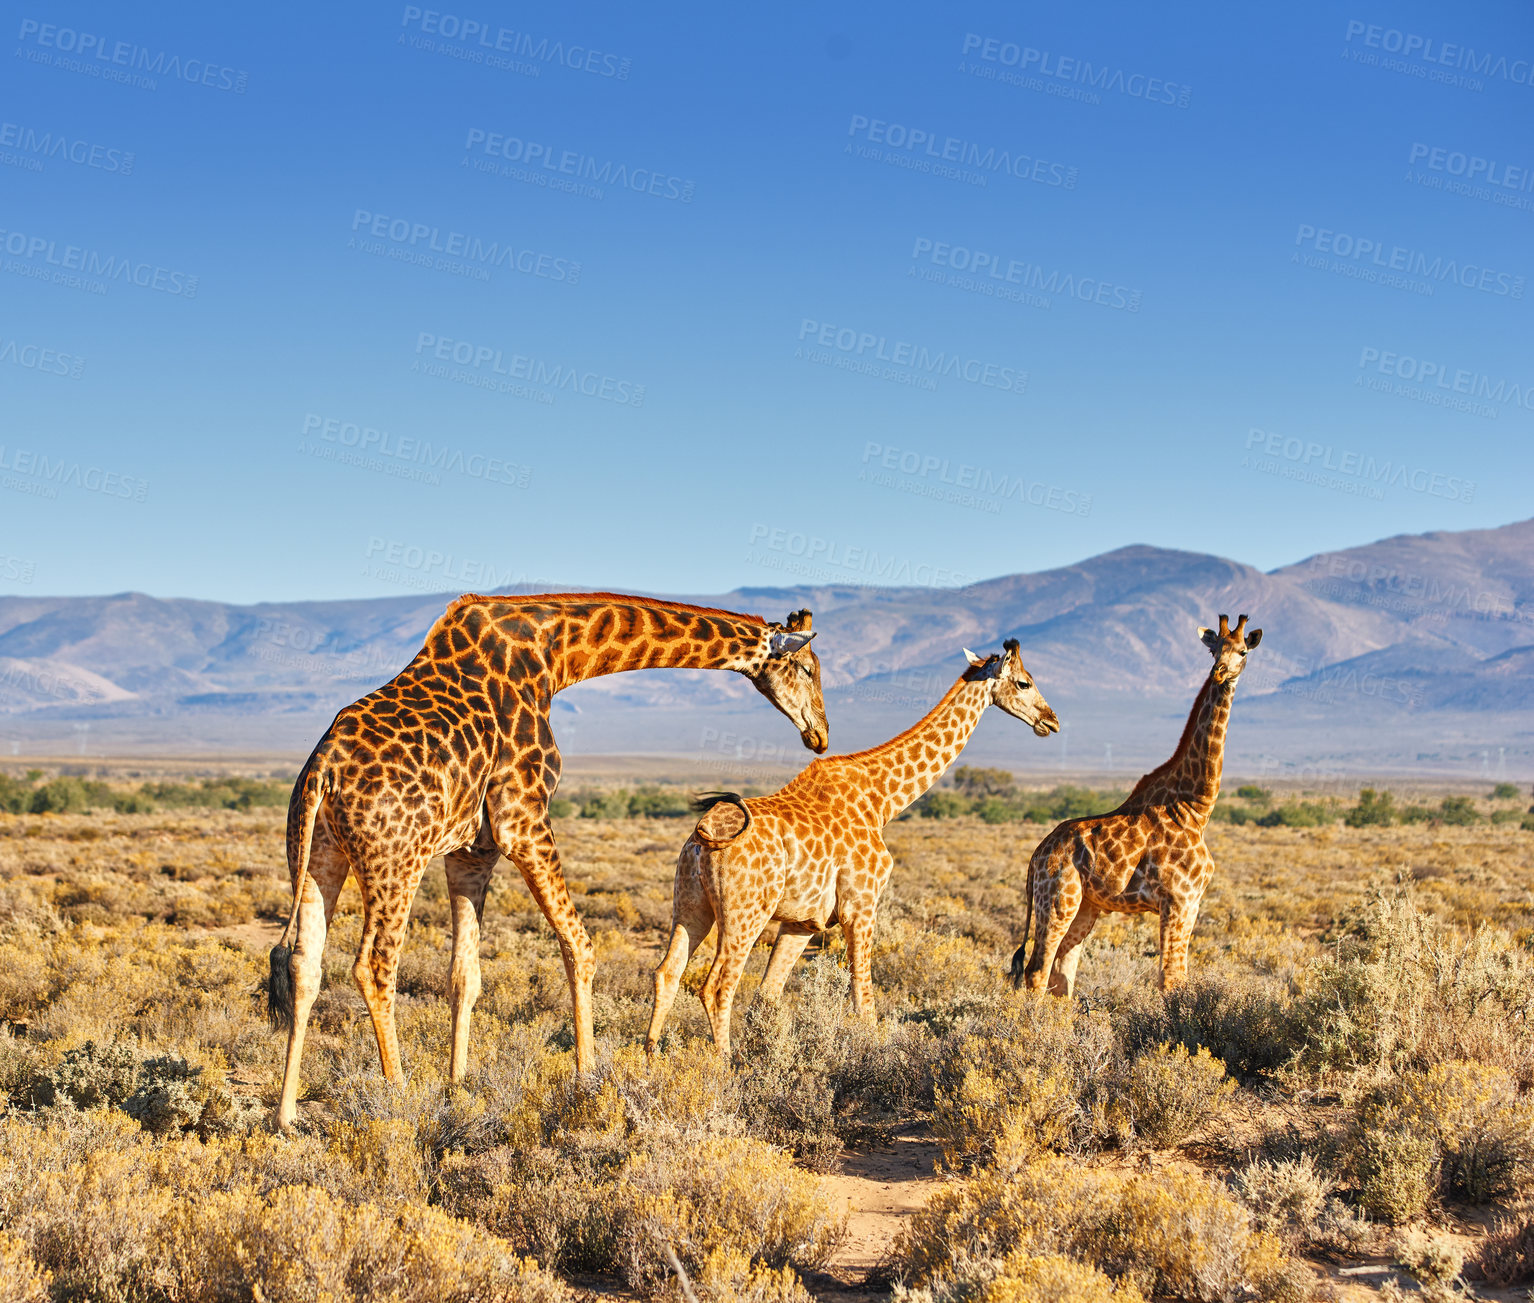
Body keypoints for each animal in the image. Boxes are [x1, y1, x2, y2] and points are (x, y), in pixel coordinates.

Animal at [269, 595, 834, 1123]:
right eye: (808, 668)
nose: (820, 735)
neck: (555, 657)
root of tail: (322, 769)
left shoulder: (471, 849)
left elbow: (464, 975)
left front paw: (458, 1087)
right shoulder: (523, 819)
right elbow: (580, 946)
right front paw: (588, 1077)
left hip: (317, 853)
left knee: (304, 963)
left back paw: (286, 1114)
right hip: (395, 860)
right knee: (373, 966)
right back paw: (399, 1097)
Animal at [644, 641, 1055, 1055]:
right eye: (1024, 682)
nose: (1051, 721)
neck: (883, 801)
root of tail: (702, 836)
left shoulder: (803, 921)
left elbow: (768, 995)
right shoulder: (861, 905)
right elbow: (863, 998)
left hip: (691, 902)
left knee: (667, 973)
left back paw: (649, 1057)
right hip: (746, 912)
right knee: (716, 986)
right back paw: (723, 1064)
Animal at [1000, 610, 1264, 994]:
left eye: (1243, 651)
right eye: (1214, 650)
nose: (1220, 671)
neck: (1196, 807)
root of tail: (1036, 857)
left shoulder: (1191, 902)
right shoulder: (1179, 901)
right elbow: (1171, 978)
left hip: (1086, 906)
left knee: (1063, 976)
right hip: (1058, 899)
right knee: (1037, 971)